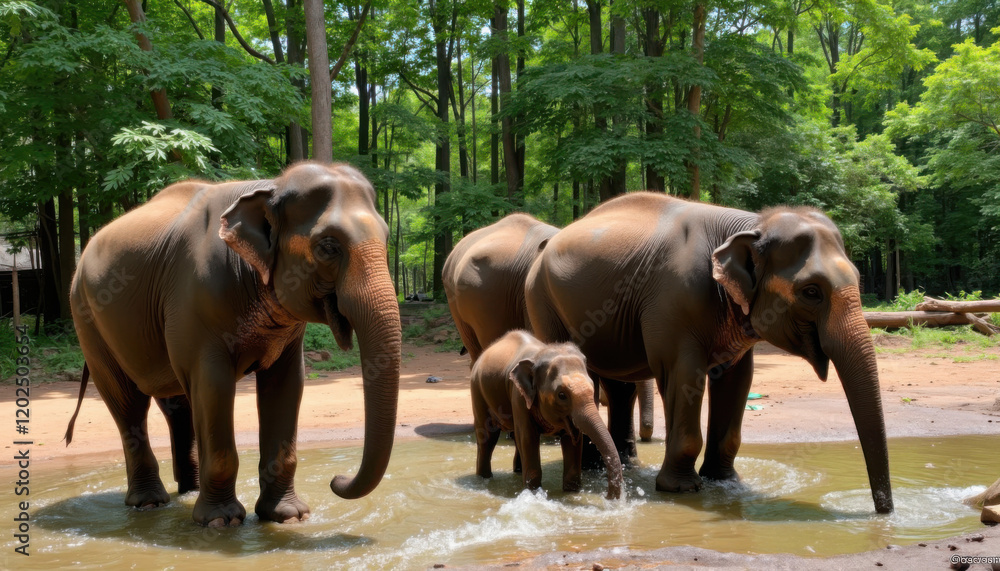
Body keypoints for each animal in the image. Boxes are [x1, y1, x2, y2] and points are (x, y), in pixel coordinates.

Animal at [65, 162, 402, 527]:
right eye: (328, 246)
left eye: (386, 239)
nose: (336, 479)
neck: (270, 186)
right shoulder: (195, 300)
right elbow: (213, 383)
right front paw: (221, 522)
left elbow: (286, 384)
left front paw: (288, 516)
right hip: (88, 320)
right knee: (128, 402)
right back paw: (150, 503)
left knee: (178, 404)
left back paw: (189, 492)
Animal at [471, 330, 624, 499]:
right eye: (562, 395)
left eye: (592, 388)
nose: (607, 497)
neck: (541, 353)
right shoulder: (518, 395)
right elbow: (528, 437)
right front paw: (533, 493)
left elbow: (573, 440)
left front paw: (571, 492)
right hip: (477, 391)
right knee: (488, 439)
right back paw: (483, 478)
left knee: (515, 437)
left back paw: (517, 473)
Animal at [524, 192, 893, 514]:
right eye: (812, 291)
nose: (884, 511)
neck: (751, 224)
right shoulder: (674, 301)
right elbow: (684, 373)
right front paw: (682, 489)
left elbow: (737, 379)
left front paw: (727, 483)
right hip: (542, 301)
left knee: (618, 384)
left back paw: (623, 463)